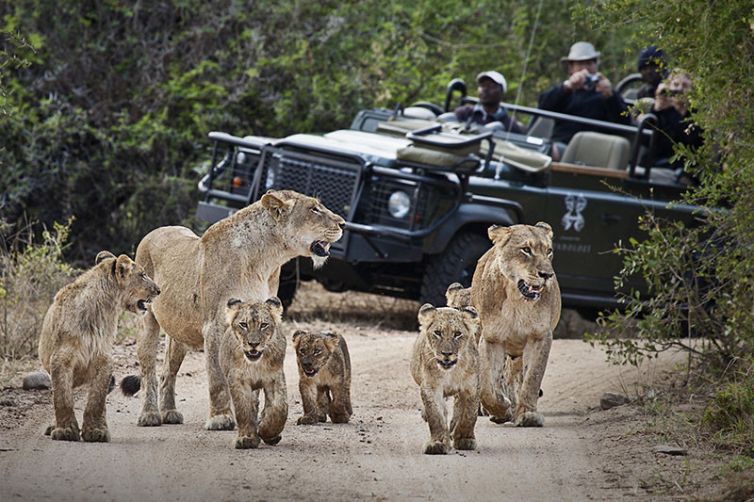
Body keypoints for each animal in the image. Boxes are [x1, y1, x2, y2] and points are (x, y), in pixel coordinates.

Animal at [38, 251, 160, 442]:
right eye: (142, 275)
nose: (159, 290)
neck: (103, 309)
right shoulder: (61, 359)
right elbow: (62, 398)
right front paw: (65, 430)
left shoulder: (103, 359)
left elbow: (96, 400)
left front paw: (96, 431)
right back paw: (53, 426)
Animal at [129, 190, 344, 430]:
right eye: (314, 209)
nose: (343, 224)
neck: (266, 260)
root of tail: (154, 231)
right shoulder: (215, 325)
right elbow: (217, 377)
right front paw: (220, 418)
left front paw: (255, 417)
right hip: (147, 321)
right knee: (148, 369)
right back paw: (149, 415)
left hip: (179, 331)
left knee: (168, 370)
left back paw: (170, 413)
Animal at [220, 297, 287, 449]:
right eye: (243, 324)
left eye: (264, 325)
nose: (253, 344)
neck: (255, 364)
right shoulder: (238, 380)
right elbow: (243, 409)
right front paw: (248, 438)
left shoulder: (275, 378)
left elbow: (280, 408)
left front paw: (266, 431)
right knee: (252, 404)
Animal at [410, 303, 480, 454]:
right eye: (438, 332)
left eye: (457, 334)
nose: (446, 354)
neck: (451, 372)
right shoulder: (431, 387)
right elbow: (435, 415)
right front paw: (437, 443)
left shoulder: (471, 387)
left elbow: (469, 415)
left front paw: (465, 440)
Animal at [467, 222, 561, 427]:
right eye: (526, 250)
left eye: (549, 251)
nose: (547, 275)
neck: (518, 301)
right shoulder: (492, 339)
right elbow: (487, 386)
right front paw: (501, 409)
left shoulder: (539, 336)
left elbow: (532, 377)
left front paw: (527, 415)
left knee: (515, 376)